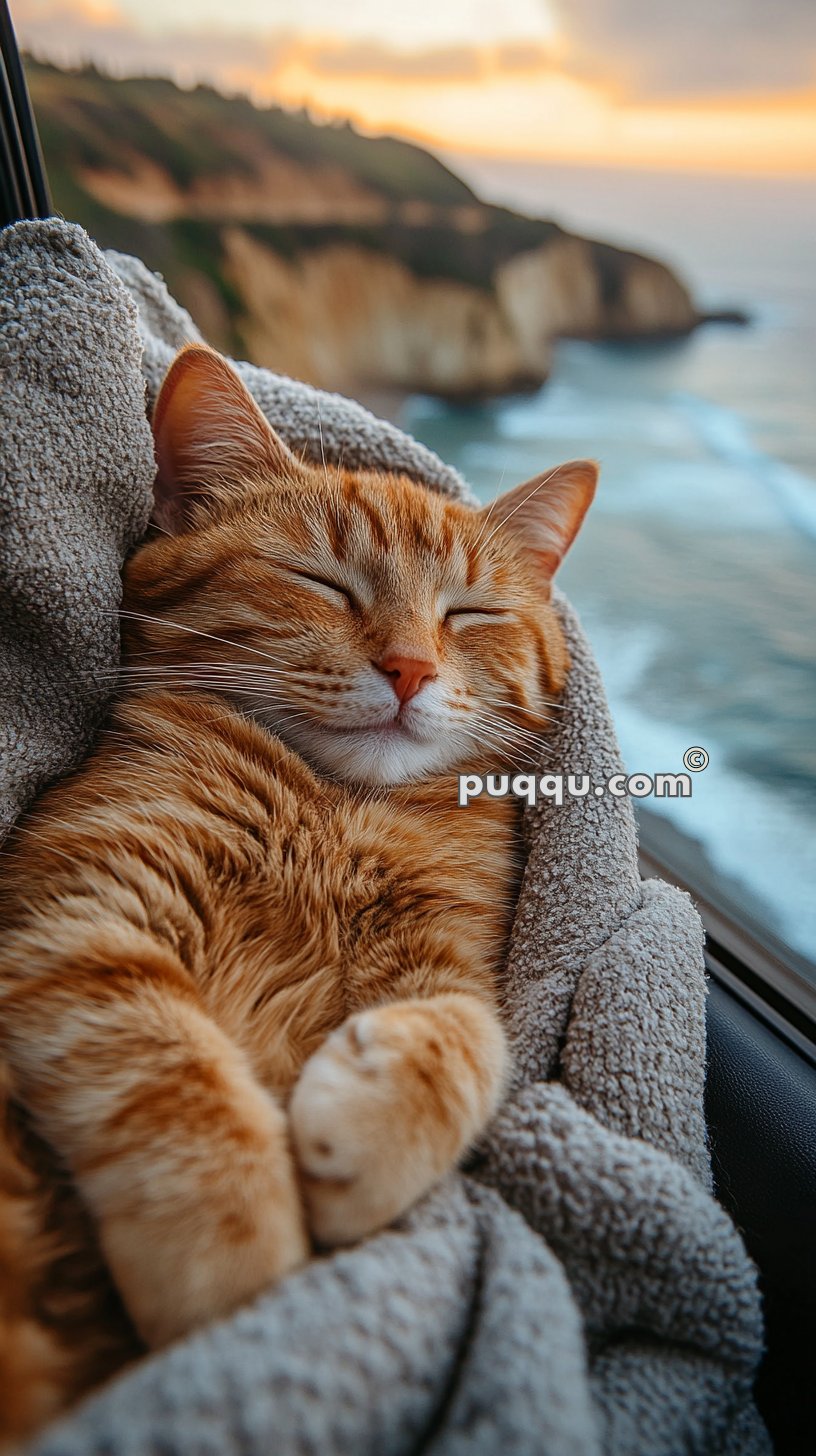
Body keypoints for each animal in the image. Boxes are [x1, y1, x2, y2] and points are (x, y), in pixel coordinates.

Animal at [0, 343, 597, 1444]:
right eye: (321, 581)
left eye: (469, 613)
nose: (408, 668)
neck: (333, 807)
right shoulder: (78, 911)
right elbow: (172, 1072)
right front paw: (242, 1270)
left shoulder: (455, 955)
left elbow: (473, 1037)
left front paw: (368, 1132)